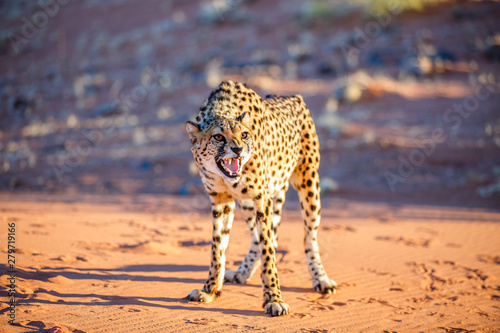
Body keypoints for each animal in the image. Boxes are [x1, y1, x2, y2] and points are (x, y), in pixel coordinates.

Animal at [185, 81, 336, 316]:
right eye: (218, 137)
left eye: (244, 135)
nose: (237, 149)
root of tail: (292, 96)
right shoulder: (221, 199)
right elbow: (218, 248)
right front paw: (209, 290)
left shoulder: (262, 198)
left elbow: (268, 251)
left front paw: (273, 299)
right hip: (247, 204)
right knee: (258, 238)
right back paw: (242, 273)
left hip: (309, 183)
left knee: (308, 238)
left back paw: (321, 279)